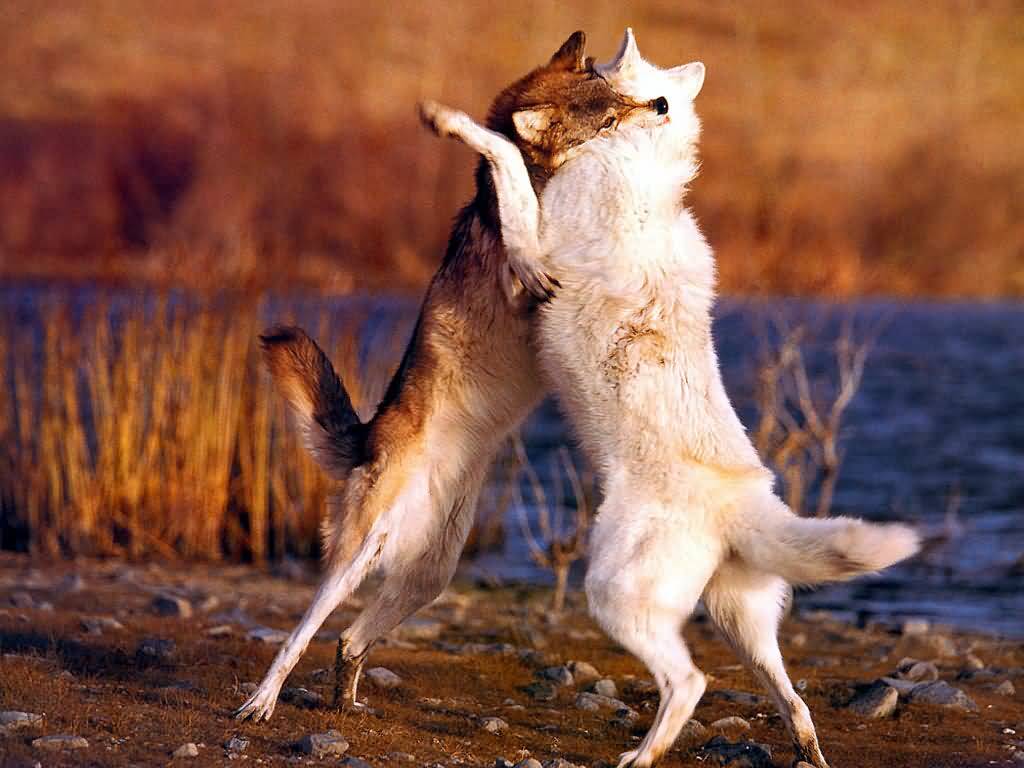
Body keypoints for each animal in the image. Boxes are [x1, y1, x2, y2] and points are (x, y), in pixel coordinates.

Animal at [233, 31, 664, 722]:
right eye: (606, 120)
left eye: (617, 97)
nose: (661, 104)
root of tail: (366, 439)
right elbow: (503, 160)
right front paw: (449, 123)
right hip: (356, 560)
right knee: (302, 633)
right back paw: (261, 702)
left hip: (427, 578)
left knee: (349, 641)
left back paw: (346, 705)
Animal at [424, 29, 920, 768]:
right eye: (616, 84)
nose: (657, 105)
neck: (635, 165)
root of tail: (739, 504)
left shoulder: (537, 232)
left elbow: (505, 155)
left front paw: (455, 123)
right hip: (742, 623)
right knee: (792, 699)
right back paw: (803, 751)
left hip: (614, 598)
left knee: (691, 682)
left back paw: (642, 756)